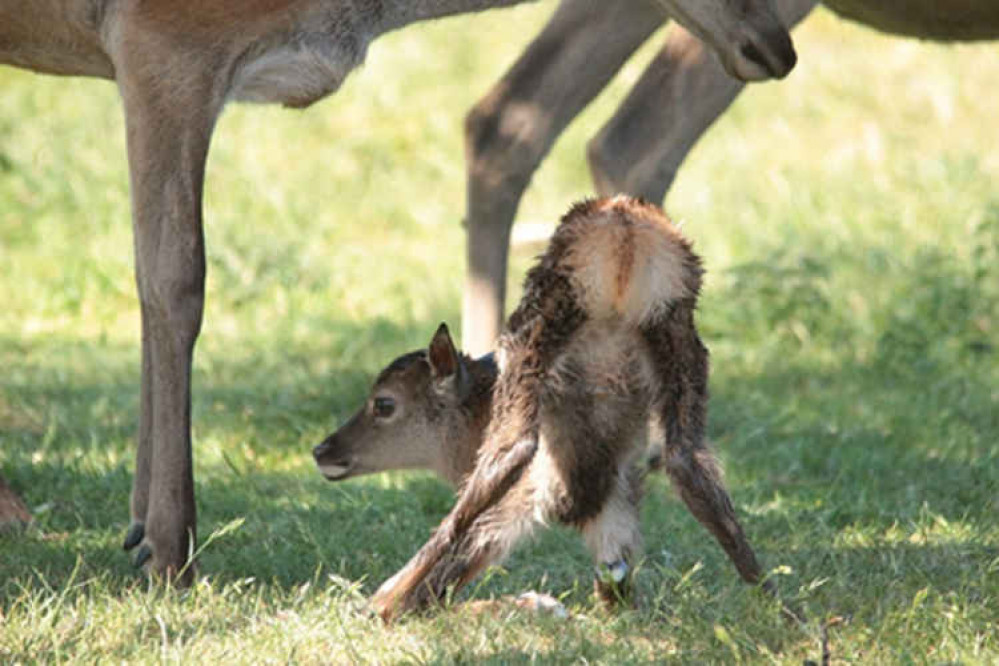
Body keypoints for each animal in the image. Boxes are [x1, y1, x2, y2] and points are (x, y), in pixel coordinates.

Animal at [0, 0, 796, 580]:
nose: (777, 46)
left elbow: (147, 268)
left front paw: (137, 527)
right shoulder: (163, 40)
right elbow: (175, 275)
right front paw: (170, 548)